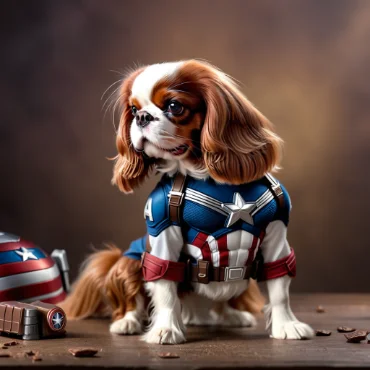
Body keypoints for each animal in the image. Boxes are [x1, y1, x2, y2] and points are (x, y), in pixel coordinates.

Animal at [61, 58, 316, 344]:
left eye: (174, 106)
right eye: (133, 108)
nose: (141, 117)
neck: (209, 178)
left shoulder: (276, 228)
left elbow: (279, 280)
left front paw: (287, 326)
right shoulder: (161, 222)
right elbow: (164, 281)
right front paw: (165, 330)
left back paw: (230, 315)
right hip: (128, 260)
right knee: (134, 295)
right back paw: (127, 321)